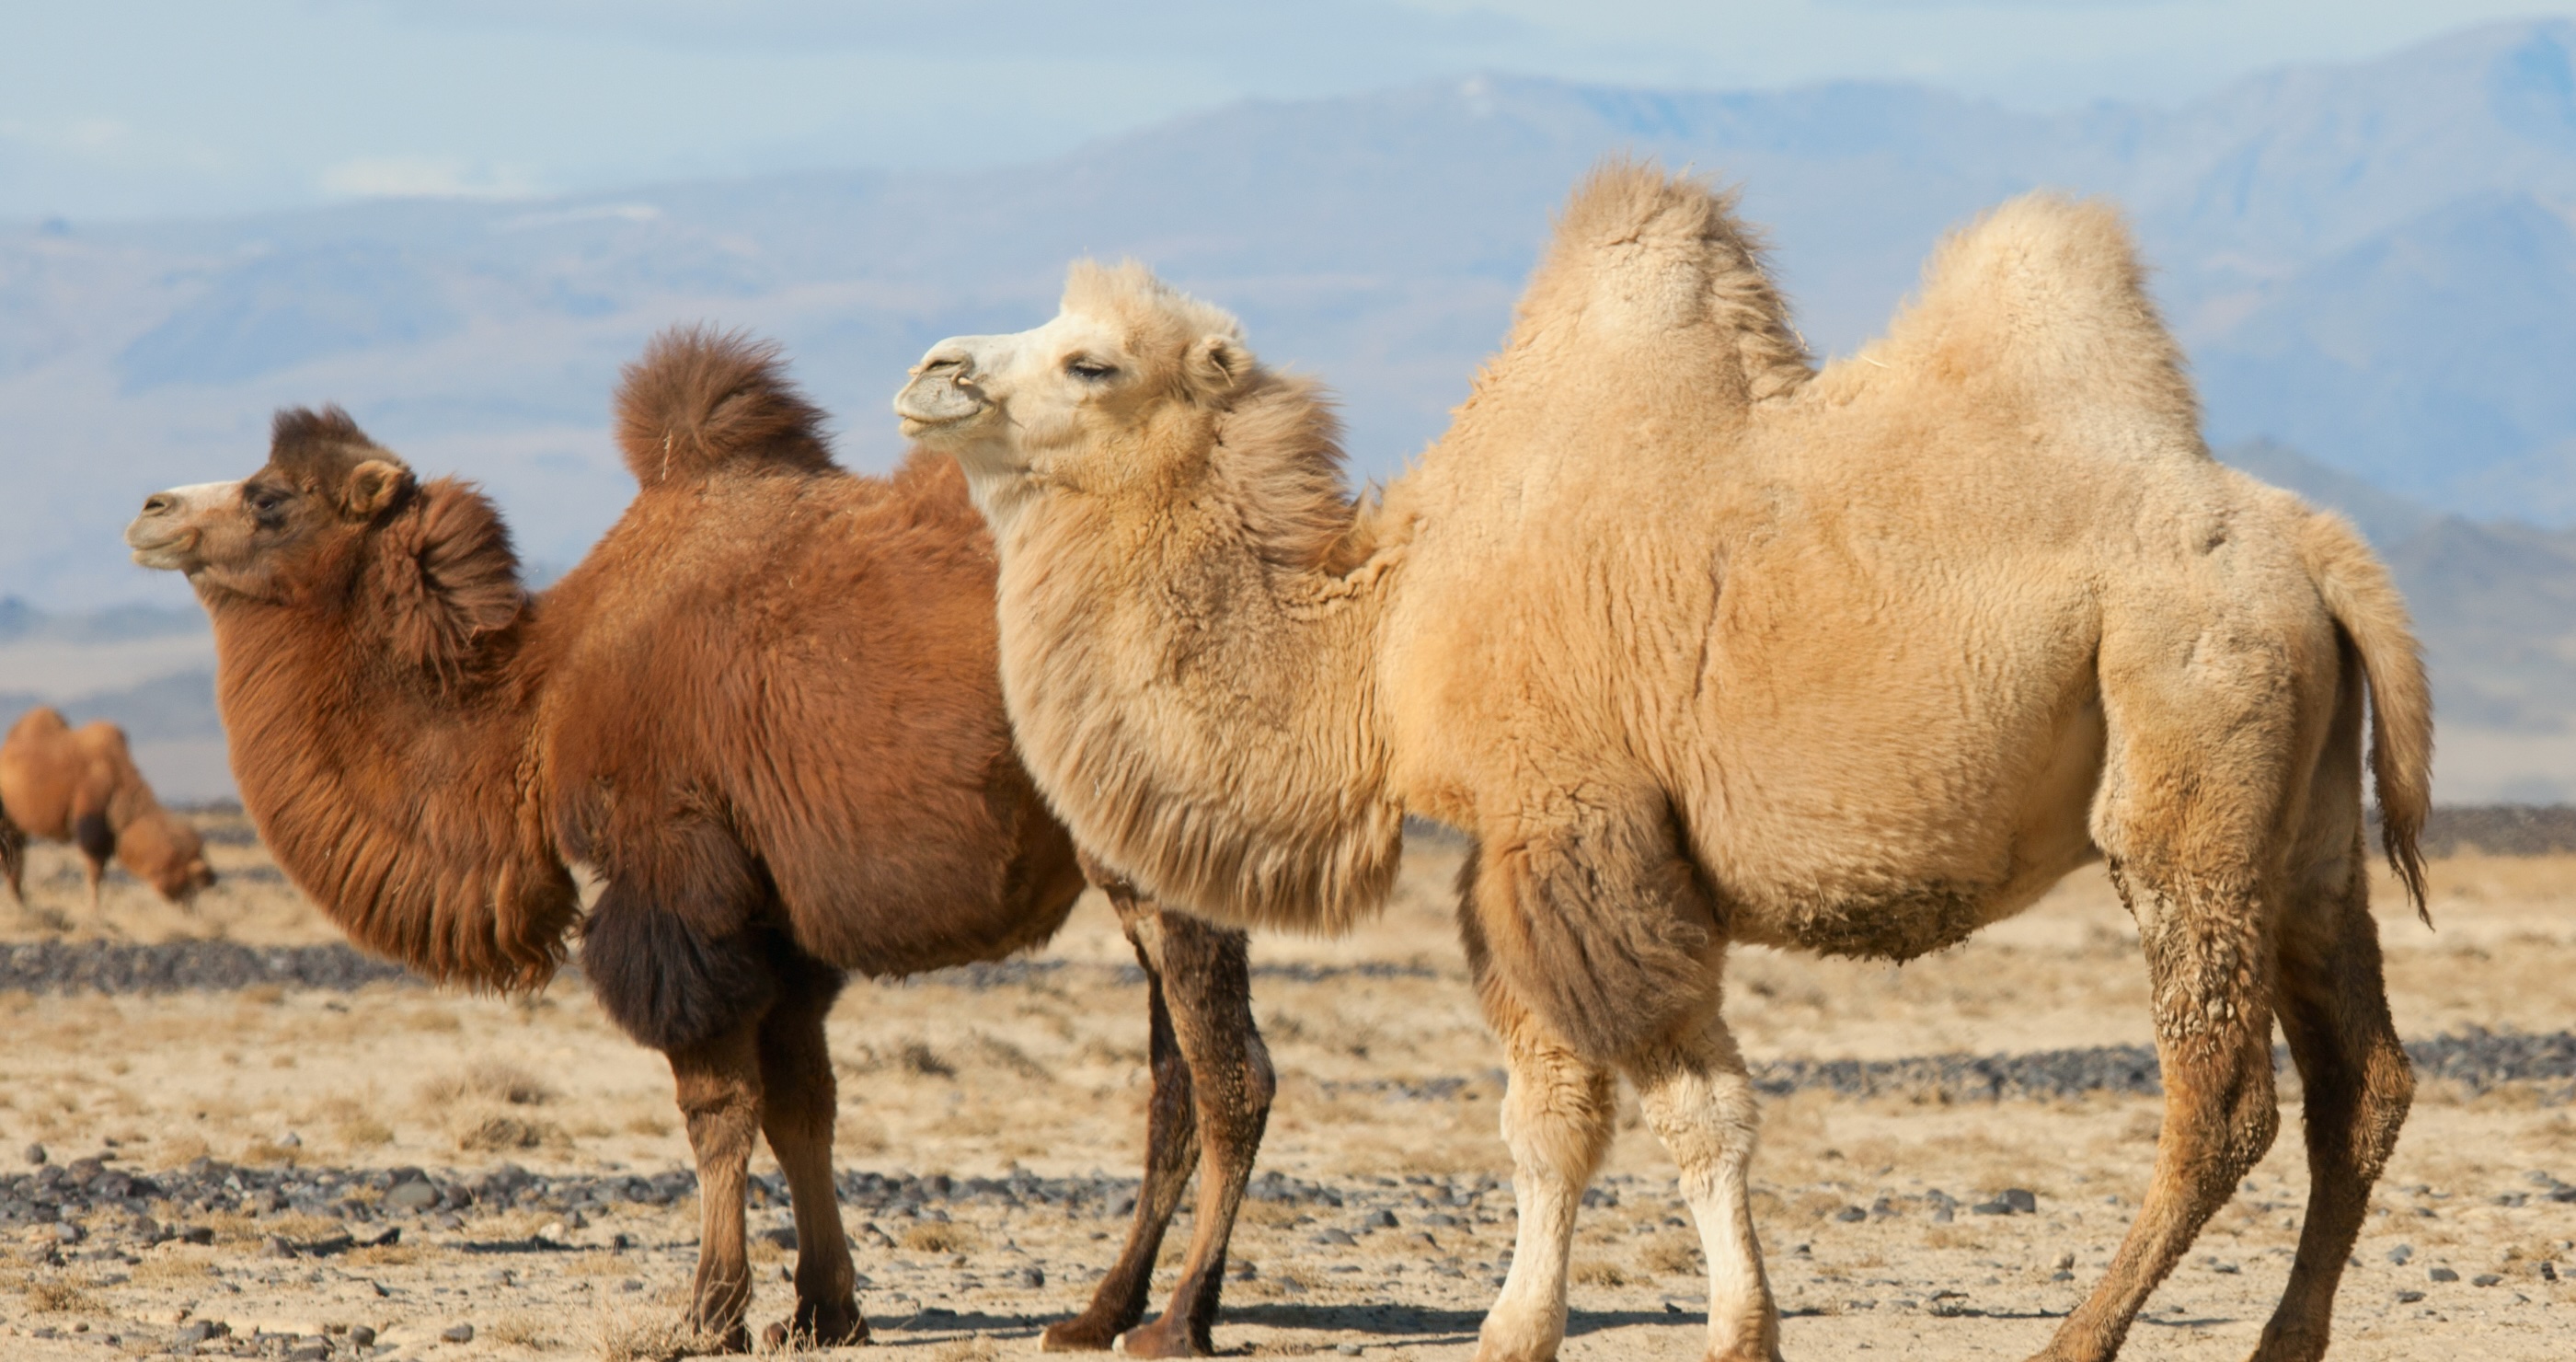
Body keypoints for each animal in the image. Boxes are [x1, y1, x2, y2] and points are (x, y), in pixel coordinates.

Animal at [124, 329, 1274, 1358]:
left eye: (271, 497)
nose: (149, 509)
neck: (536, 700)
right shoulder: (775, 910)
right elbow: (804, 1101)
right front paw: (821, 1310)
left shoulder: (675, 874)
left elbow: (716, 1104)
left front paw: (709, 1311)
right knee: (1175, 1079)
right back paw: (1095, 1313)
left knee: (1230, 1075)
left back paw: (1175, 1323)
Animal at [896, 163, 2435, 1362]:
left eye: (1092, 360)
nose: (931, 372)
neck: (1383, 632)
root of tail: (2313, 545)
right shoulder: (1522, 852)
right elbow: (1561, 1111)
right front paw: (1535, 1326)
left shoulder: (1574, 826)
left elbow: (1672, 1106)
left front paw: (1708, 1328)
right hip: (2305, 822)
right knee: (2364, 1081)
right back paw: (2284, 1339)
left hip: (2191, 765)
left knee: (2222, 1098)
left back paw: (2077, 1336)